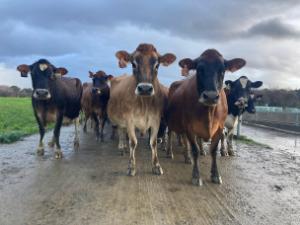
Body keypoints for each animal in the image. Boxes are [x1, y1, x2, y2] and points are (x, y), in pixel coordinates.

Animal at [107, 43, 176, 176]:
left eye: (157, 65)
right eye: (133, 64)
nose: (145, 88)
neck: (144, 105)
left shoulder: (156, 120)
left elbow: (153, 143)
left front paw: (156, 165)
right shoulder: (129, 120)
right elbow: (133, 142)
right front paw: (131, 167)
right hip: (119, 119)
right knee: (121, 132)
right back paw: (121, 147)